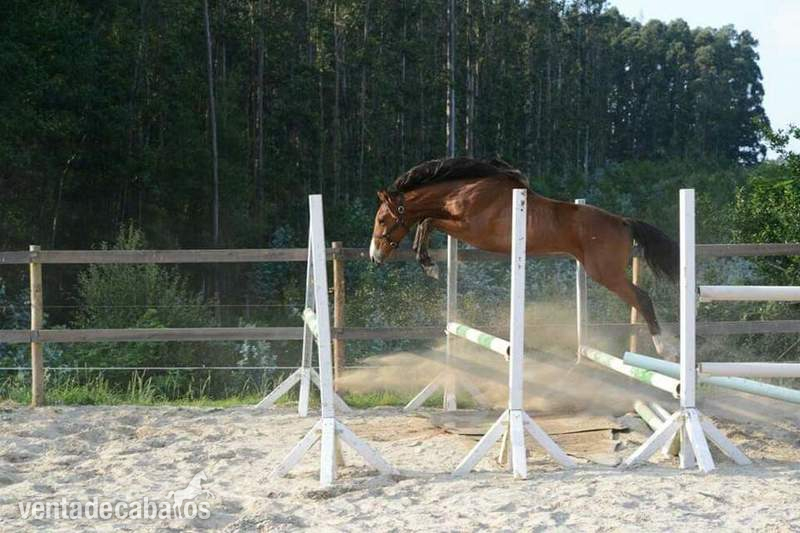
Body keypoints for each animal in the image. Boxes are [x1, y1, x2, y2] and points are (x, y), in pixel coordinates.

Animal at [369, 157, 680, 360]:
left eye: (382, 220)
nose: (374, 257)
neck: (464, 191)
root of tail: (624, 222)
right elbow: (426, 221)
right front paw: (427, 262)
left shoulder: (472, 230)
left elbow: (429, 220)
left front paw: (429, 265)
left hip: (606, 273)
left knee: (642, 298)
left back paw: (665, 348)